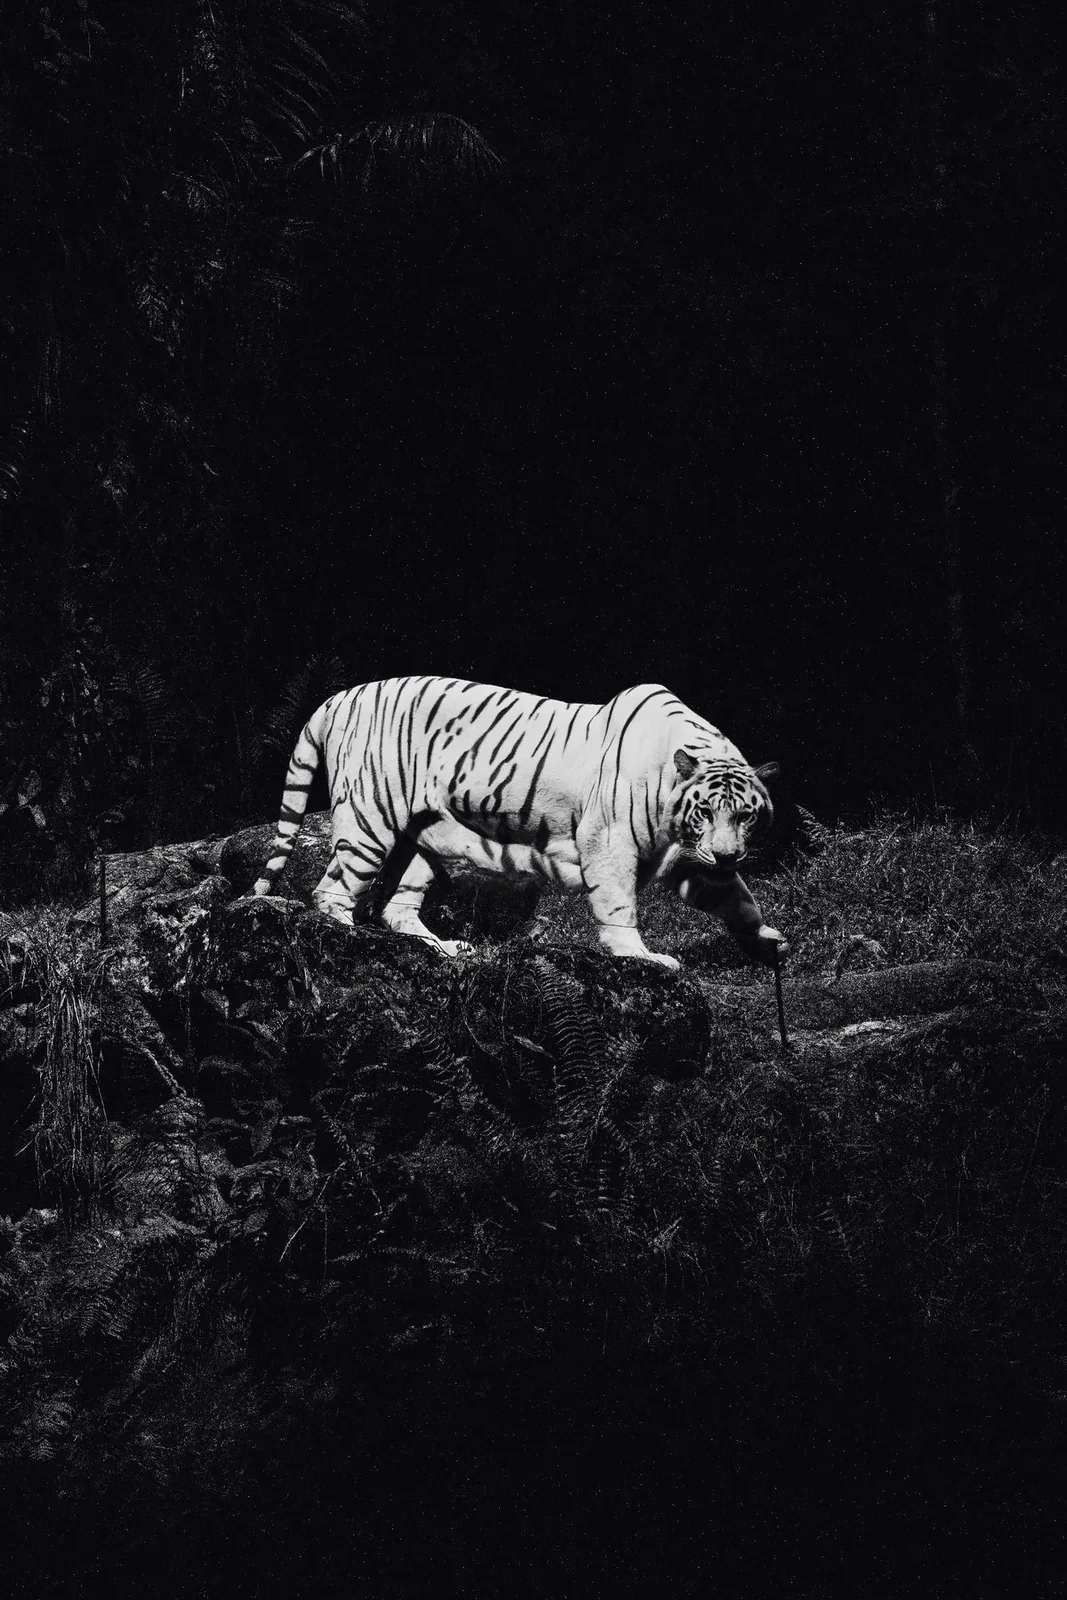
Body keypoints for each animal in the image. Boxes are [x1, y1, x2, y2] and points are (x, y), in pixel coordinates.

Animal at [252, 676, 788, 973]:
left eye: (745, 816)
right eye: (706, 812)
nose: (727, 854)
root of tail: (338, 698)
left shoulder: (690, 858)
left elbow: (739, 897)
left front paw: (767, 943)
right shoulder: (610, 842)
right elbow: (619, 906)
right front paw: (639, 957)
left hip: (422, 836)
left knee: (396, 906)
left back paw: (448, 951)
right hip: (369, 818)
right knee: (331, 892)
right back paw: (355, 942)